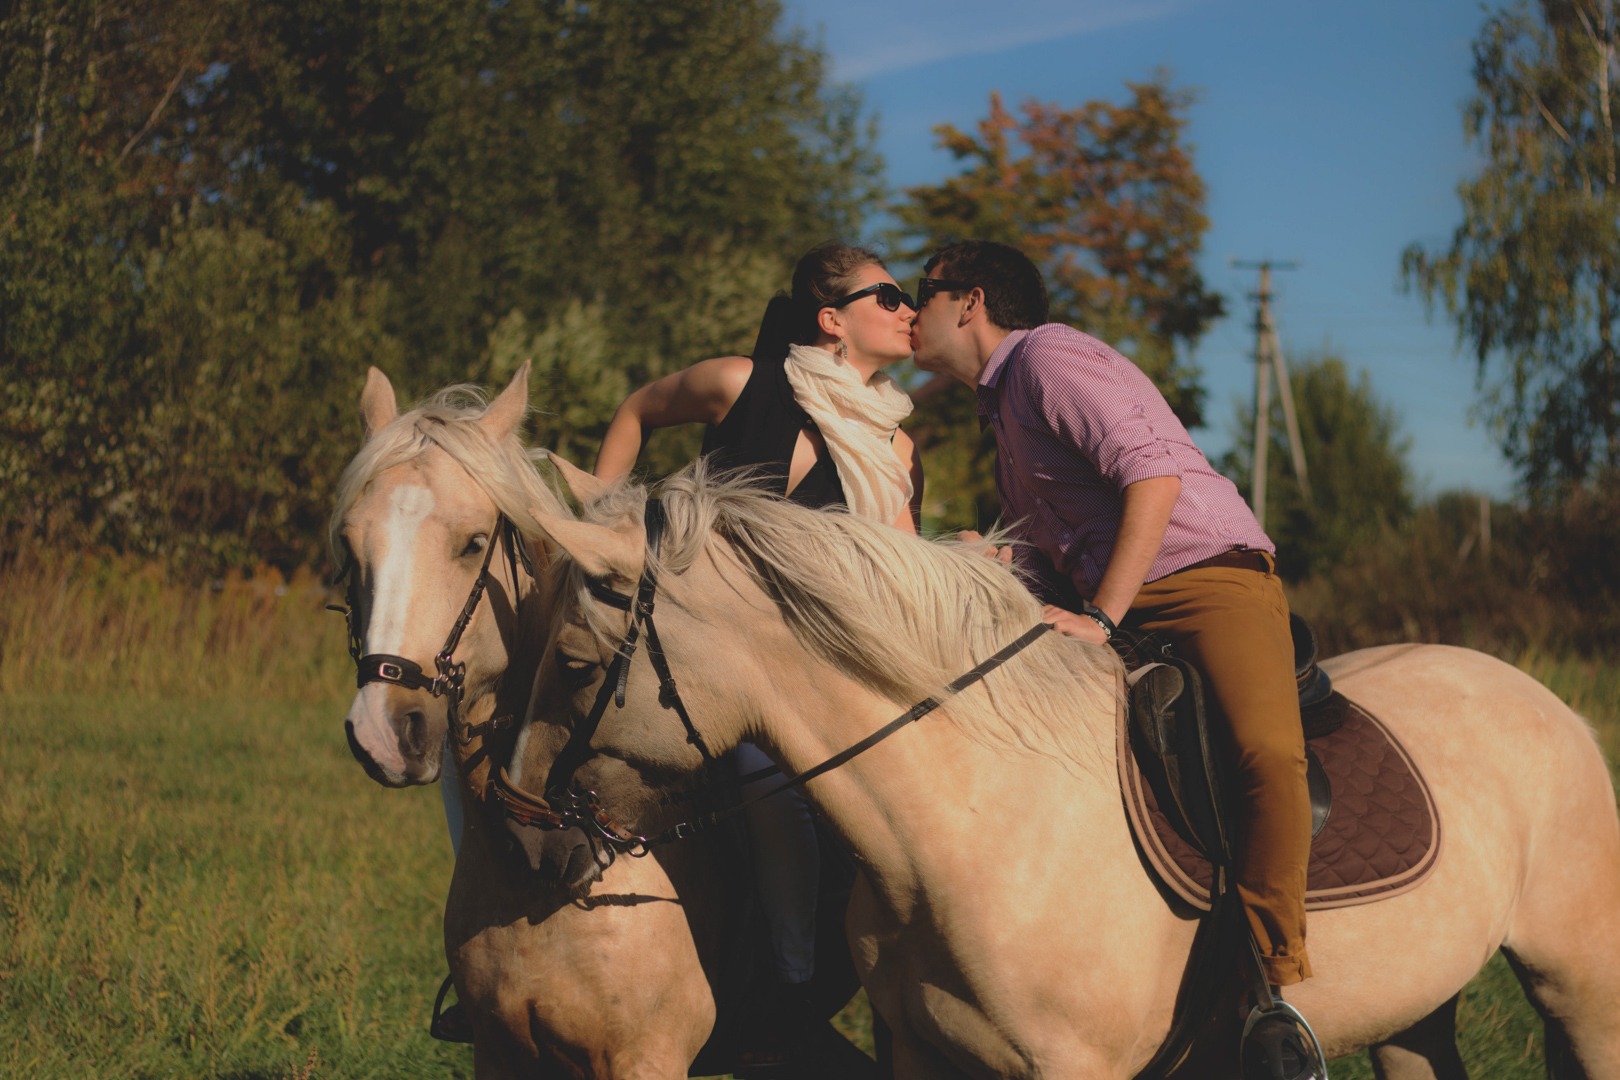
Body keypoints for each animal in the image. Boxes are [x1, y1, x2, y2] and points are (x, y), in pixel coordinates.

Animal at [508, 466, 1620, 1080]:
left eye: (573, 663)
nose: (532, 829)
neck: (965, 822)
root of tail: (1553, 703)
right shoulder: (924, 1057)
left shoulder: (1071, 1067)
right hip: (1418, 1007)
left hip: (1582, 986)